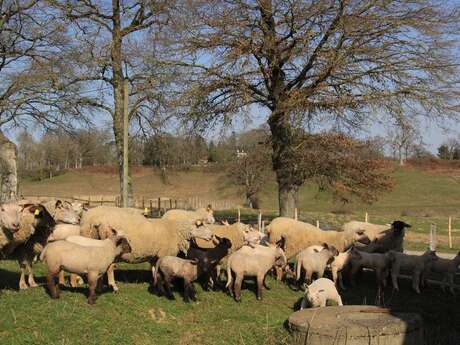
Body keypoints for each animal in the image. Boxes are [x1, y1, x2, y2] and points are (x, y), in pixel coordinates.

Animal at [79, 206, 214, 292]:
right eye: (200, 225)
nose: (212, 236)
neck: (177, 230)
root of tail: (97, 221)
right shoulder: (164, 254)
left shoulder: (155, 256)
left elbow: (154, 270)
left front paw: (155, 285)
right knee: (109, 267)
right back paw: (113, 286)